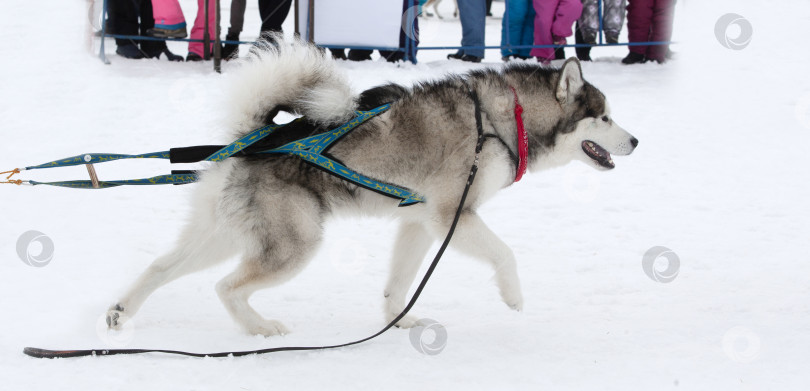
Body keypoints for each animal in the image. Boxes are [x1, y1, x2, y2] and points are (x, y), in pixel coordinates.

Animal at [105, 37, 636, 336]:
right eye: (605, 117)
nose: (635, 140)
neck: (508, 120)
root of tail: (249, 139)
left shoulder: (419, 222)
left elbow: (397, 284)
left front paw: (397, 323)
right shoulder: (453, 215)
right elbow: (506, 254)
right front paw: (513, 296)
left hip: (224, 234)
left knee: (160, 267)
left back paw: (120, 311)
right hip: (294, 244)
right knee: (226, 286)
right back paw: (260, 329)